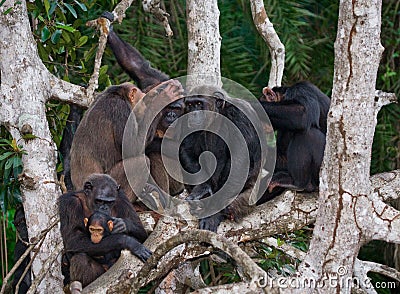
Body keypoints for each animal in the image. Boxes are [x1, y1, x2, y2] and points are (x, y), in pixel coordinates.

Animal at [179, 86, 266, 232]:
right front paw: (201, 190)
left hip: (248, 200)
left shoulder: (240, 117)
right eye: (190, 105)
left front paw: (212, 214)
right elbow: (187, 149)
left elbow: (239, 163)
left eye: (199, 103)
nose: (193, 113)